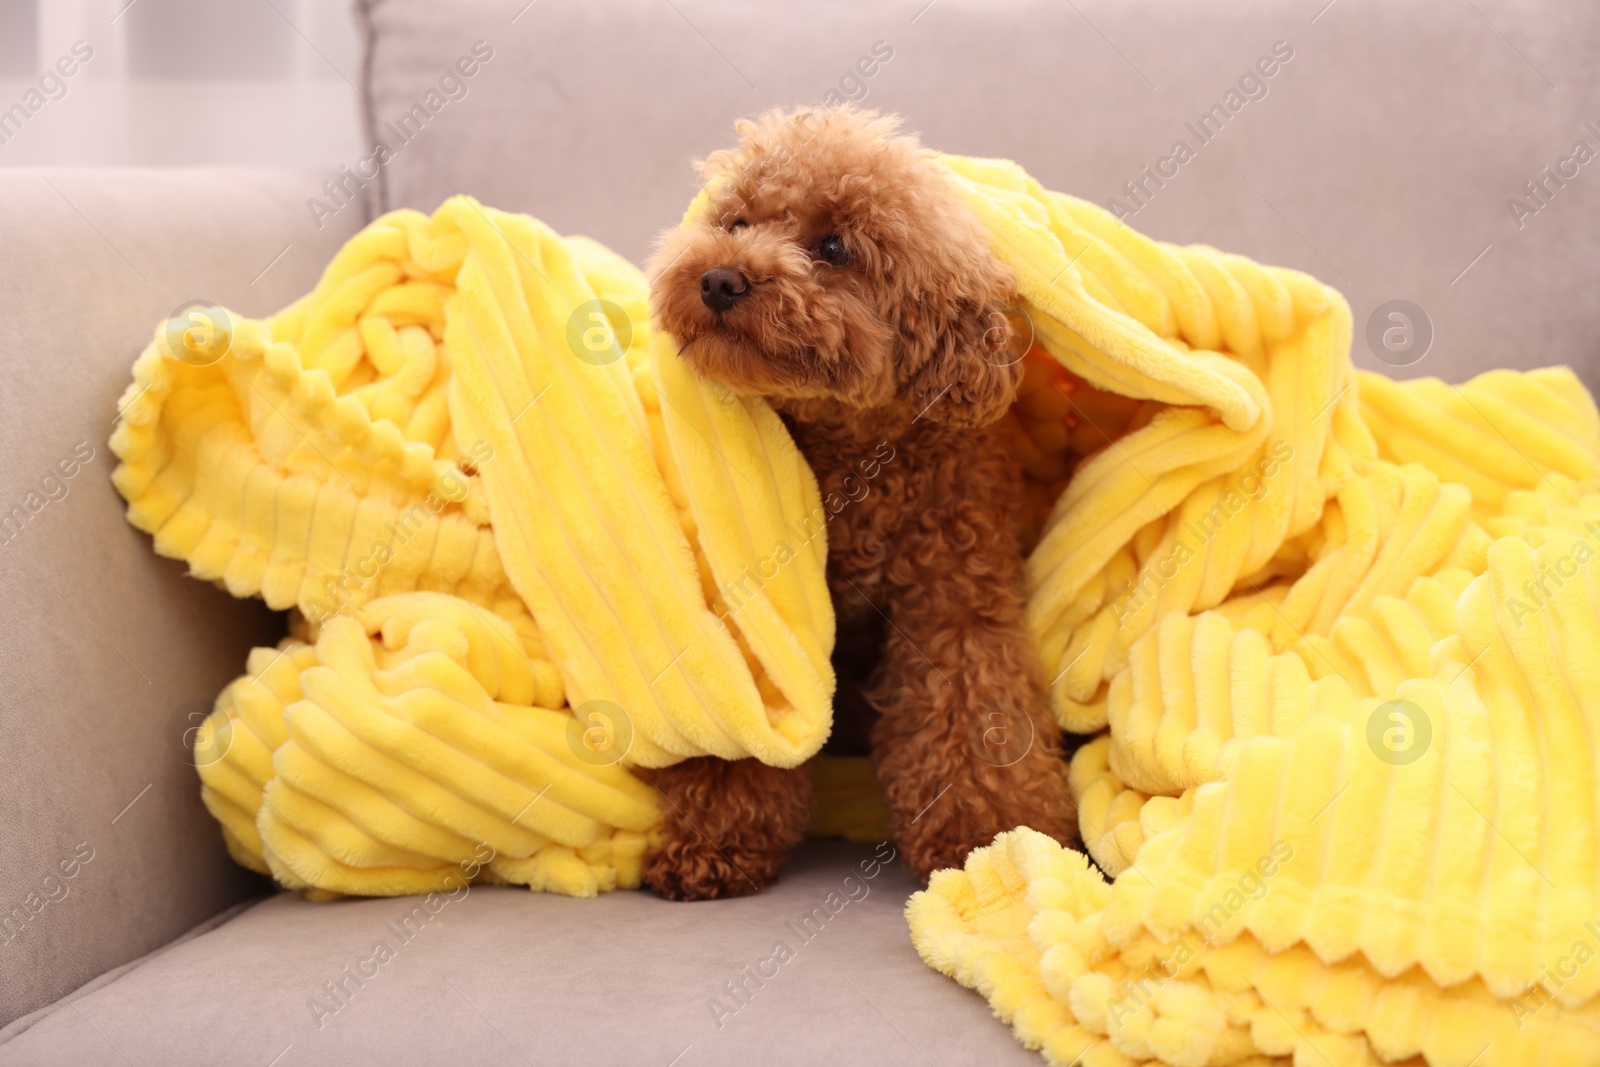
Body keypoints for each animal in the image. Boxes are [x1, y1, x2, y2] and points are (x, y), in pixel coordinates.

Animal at [640, 106, 1075, 902]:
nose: (718, 277)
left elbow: (973, 716)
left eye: (834, 246)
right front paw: (712, 839)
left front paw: (988, 840)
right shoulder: (759, 615)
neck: (857, 461)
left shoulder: (955, 604)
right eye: (738, 221)